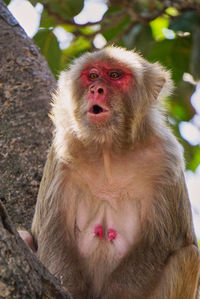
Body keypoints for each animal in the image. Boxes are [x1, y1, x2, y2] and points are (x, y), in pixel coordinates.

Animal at [29, 46, 200, 298]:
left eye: (115, 75)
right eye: (92, 76)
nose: (96, 89)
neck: (108, 149)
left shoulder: (166, 158)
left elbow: (159, 240)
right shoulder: (62, 156)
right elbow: (52, 232)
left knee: (189, 257)